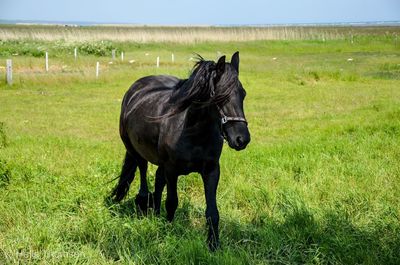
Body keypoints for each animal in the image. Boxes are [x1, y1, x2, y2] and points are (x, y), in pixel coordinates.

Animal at [111, 51, 250, 250]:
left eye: (243, 94)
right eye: (220, 97)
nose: (241, 139)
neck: (192, 132)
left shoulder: (211, 171)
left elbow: (212, 212)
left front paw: (213, 244)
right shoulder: (172, 170)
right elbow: (172, 202)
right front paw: (168, 232)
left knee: (158, 181)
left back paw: (155, 212)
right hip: (136, 152)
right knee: (143, 175)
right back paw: (145, 208)